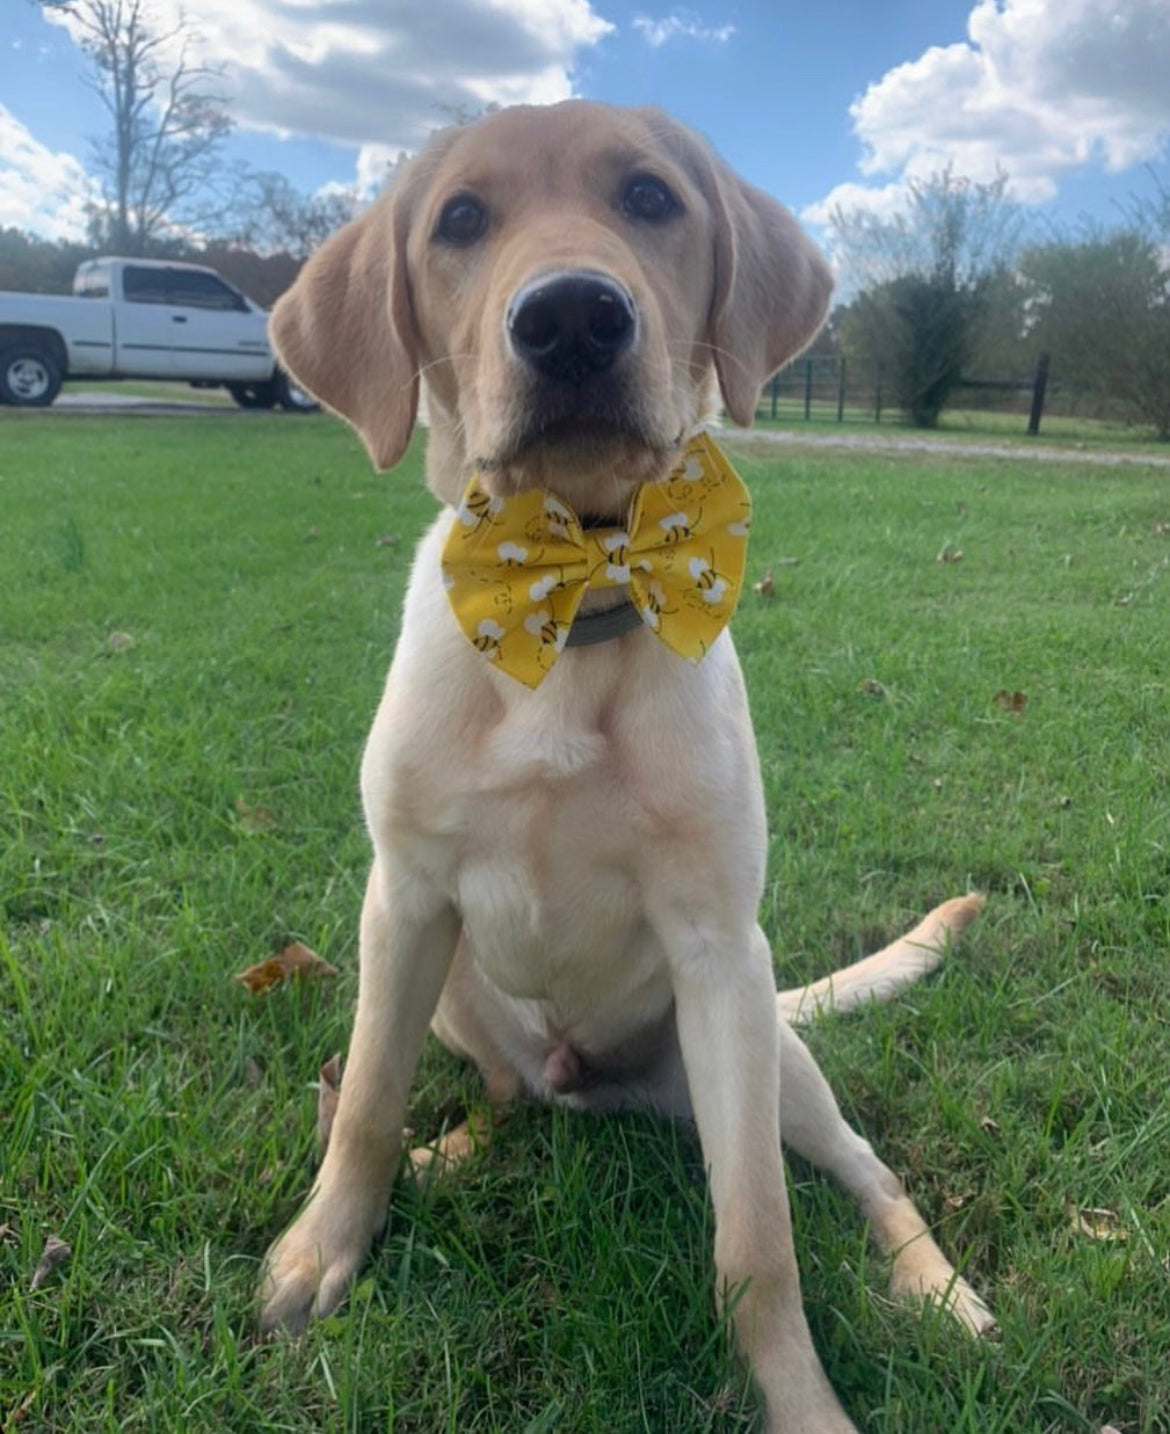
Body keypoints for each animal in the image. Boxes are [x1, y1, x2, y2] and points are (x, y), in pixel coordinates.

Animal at [260, 103, 992, 1434]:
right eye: (459, 219)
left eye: (651, 197)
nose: (569, 318)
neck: (572, 596)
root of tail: (594, 1087)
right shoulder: (404, 898)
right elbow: (372, 1110)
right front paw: (320, 1251)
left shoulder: (717, 950)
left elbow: (758, 1244)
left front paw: (802, 1402)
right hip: (452, 985)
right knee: (500, 1102)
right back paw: (455, 1156)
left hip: (767, 1049)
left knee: (865, 1167)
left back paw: (935, 1284)